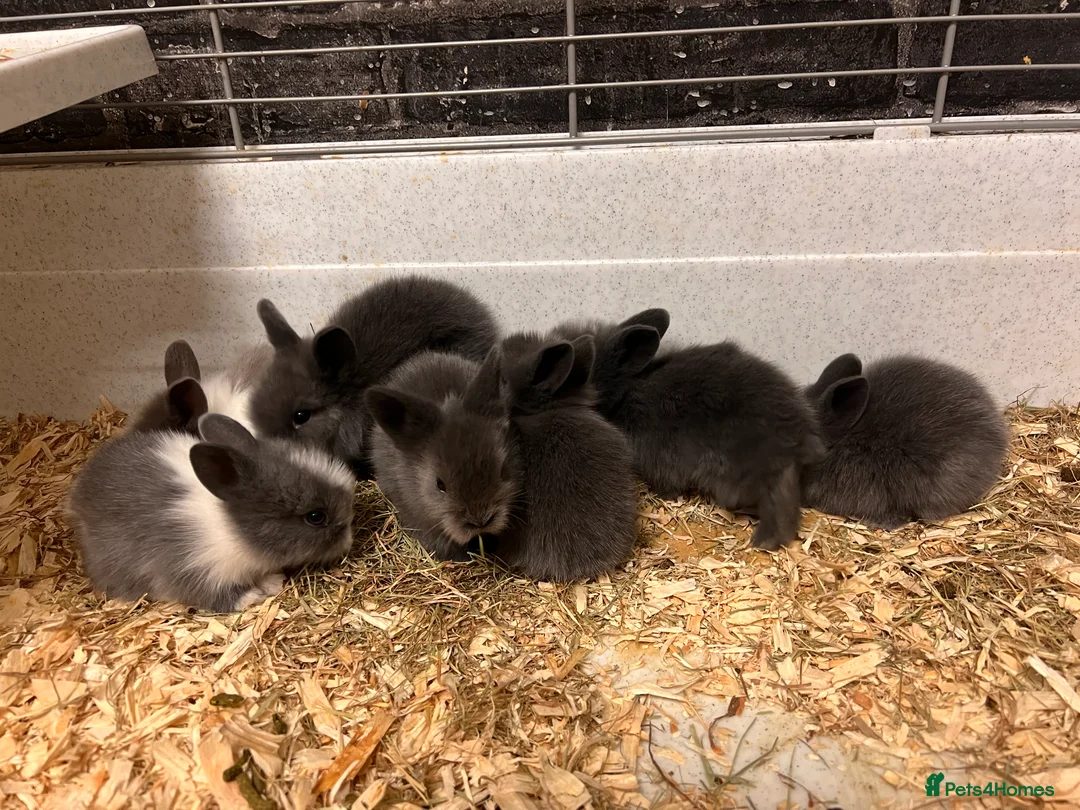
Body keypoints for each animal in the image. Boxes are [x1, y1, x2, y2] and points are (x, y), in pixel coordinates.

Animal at [67, 413, 356, 612]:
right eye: (315, 517)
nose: (349, 541)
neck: (234, 525)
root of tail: (76, 497)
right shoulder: (194, 568)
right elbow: (216, 596)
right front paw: (253, 597)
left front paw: (273, 582)